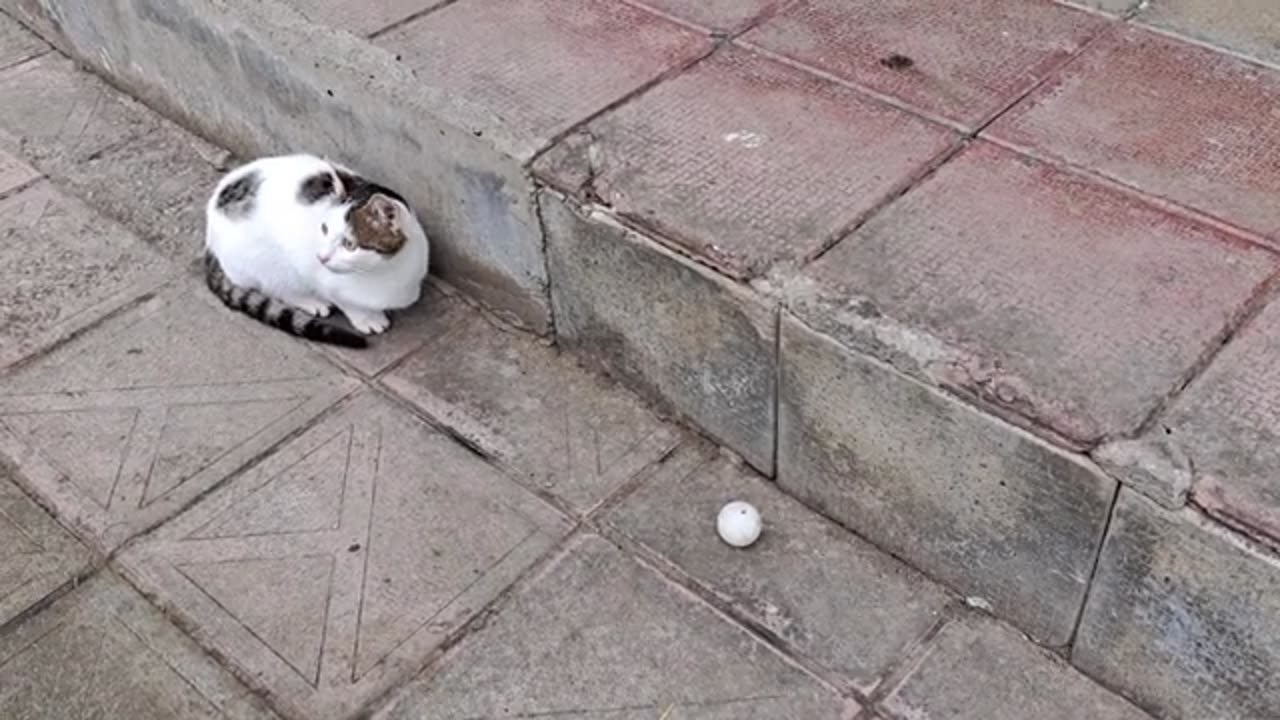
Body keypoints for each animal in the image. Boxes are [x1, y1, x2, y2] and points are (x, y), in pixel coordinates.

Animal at [203, 152, 430, 345]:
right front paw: (366, 318)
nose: (321, 257)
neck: (386, 270)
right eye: (324, 229)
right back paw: (309, 301)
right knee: (274, 286)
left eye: (349, 244)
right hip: (260, 263)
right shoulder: (315, 273)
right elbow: (343, 299)